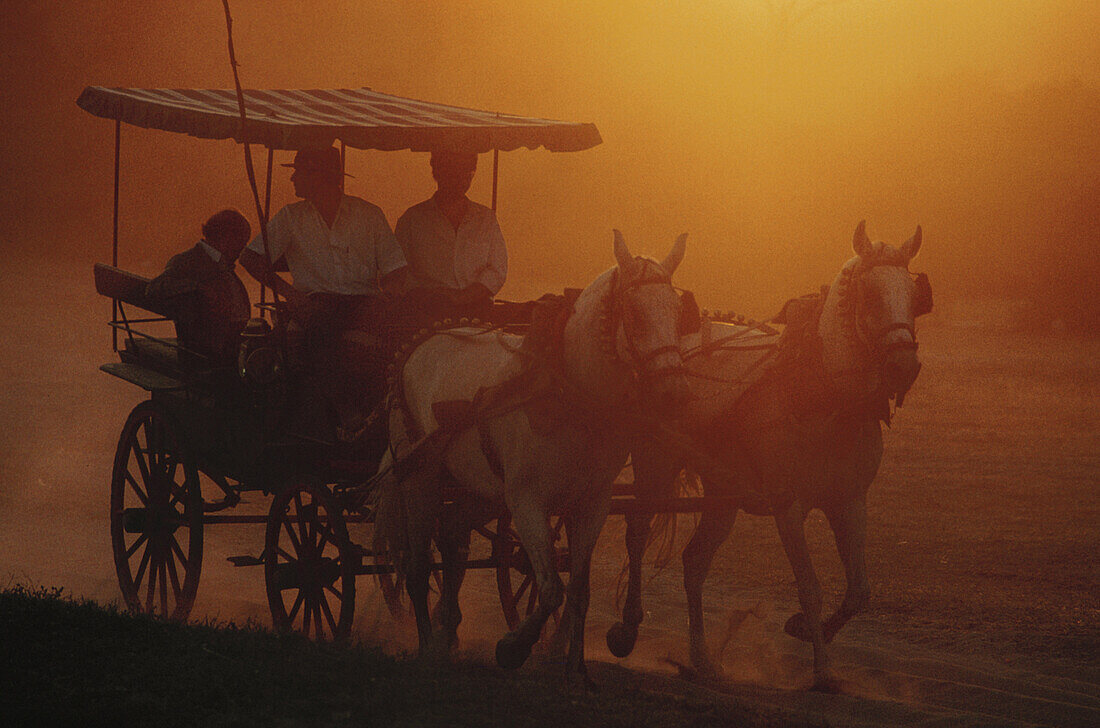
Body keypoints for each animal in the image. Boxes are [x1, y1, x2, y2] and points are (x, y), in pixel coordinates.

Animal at [374, 230, 690, 681]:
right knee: (418, 566)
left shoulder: (591, 503)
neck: (572, 394)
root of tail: (421, 343)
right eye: (635, 313)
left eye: (679, 313)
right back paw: (427, 645)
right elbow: (551, 588)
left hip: (482, 490)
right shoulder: (526, 502)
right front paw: (514, 646)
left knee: (453, 535)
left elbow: (578, 588)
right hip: (419, 476)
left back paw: (448, 628)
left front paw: (574, 669)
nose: (676, 393)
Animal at [602, 222, 928, 690]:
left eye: (914, 294)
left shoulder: (850, 502)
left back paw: (701, 659)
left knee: (694, 562)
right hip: (655, 464)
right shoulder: (788, 506)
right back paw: (627, 629)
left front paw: (805, 629)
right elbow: (810, 586)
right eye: (870, 294)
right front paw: (823, 669)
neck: (822, 393)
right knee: (638, 532)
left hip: (723, 493)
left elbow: (859, 591)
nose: (905, 365)